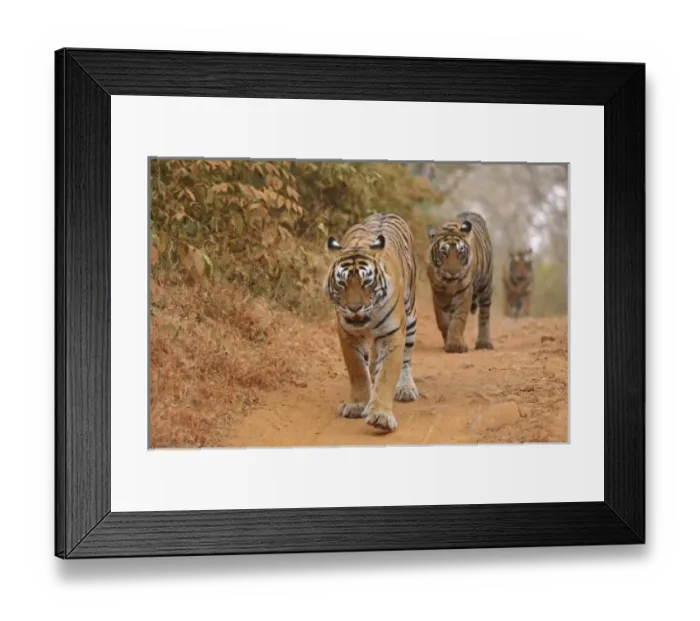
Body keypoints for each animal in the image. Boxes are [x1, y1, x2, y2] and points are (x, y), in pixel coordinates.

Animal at [323, 212, 419, 433]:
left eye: (367, 282)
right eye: (342, 283)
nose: (354, 308)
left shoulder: (393, 334)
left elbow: (386, 375)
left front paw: (380, 416)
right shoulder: (348, 335)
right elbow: (358, 371)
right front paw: (357, 404)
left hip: (410, 316)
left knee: (406, 359)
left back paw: (405, 388)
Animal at [426, 211, 495, 353]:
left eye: (460, 252)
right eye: (443, 252)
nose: (453, 272)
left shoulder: (465, 290)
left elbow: (458, 319)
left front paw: (455, 345)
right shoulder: (438, 292)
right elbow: (442, 319)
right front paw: (449, 341)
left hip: (486, 285)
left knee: (484, 315)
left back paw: (484, 343)